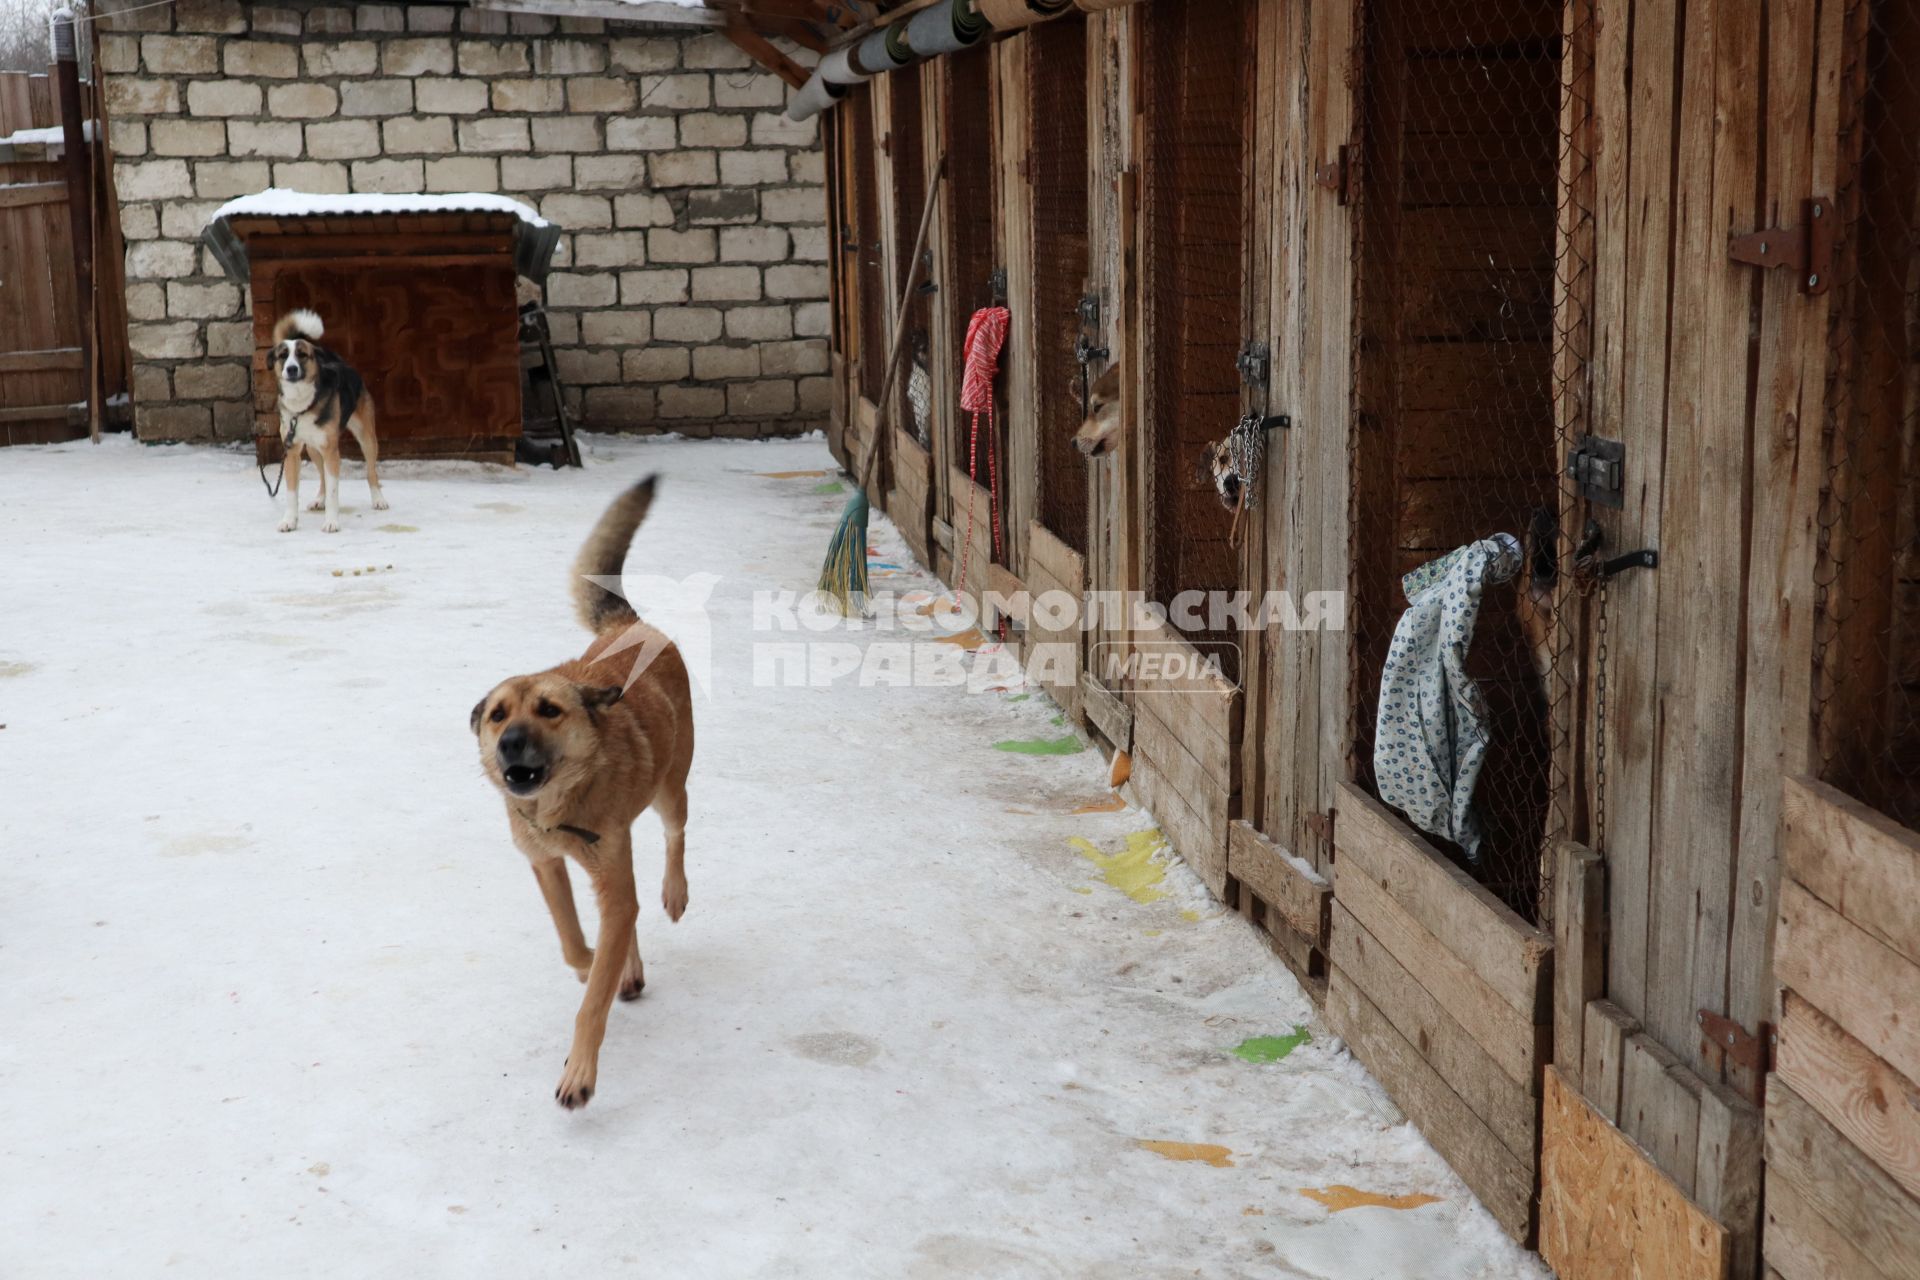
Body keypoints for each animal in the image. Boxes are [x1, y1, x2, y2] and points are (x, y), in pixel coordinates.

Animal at [270, 310, 385, 537]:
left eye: (302, 355)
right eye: (283, 356)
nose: (292, 369)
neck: (303, 406)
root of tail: (338, 361)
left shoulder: (332, 451)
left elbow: (334, 492)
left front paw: (332, 522)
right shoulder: (292, 452)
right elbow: (291, 492)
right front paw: (289, 521)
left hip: (366, 437)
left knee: (371, 471)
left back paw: (378, 499)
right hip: (313, 448)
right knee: (322, 476)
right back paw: (319, 499)